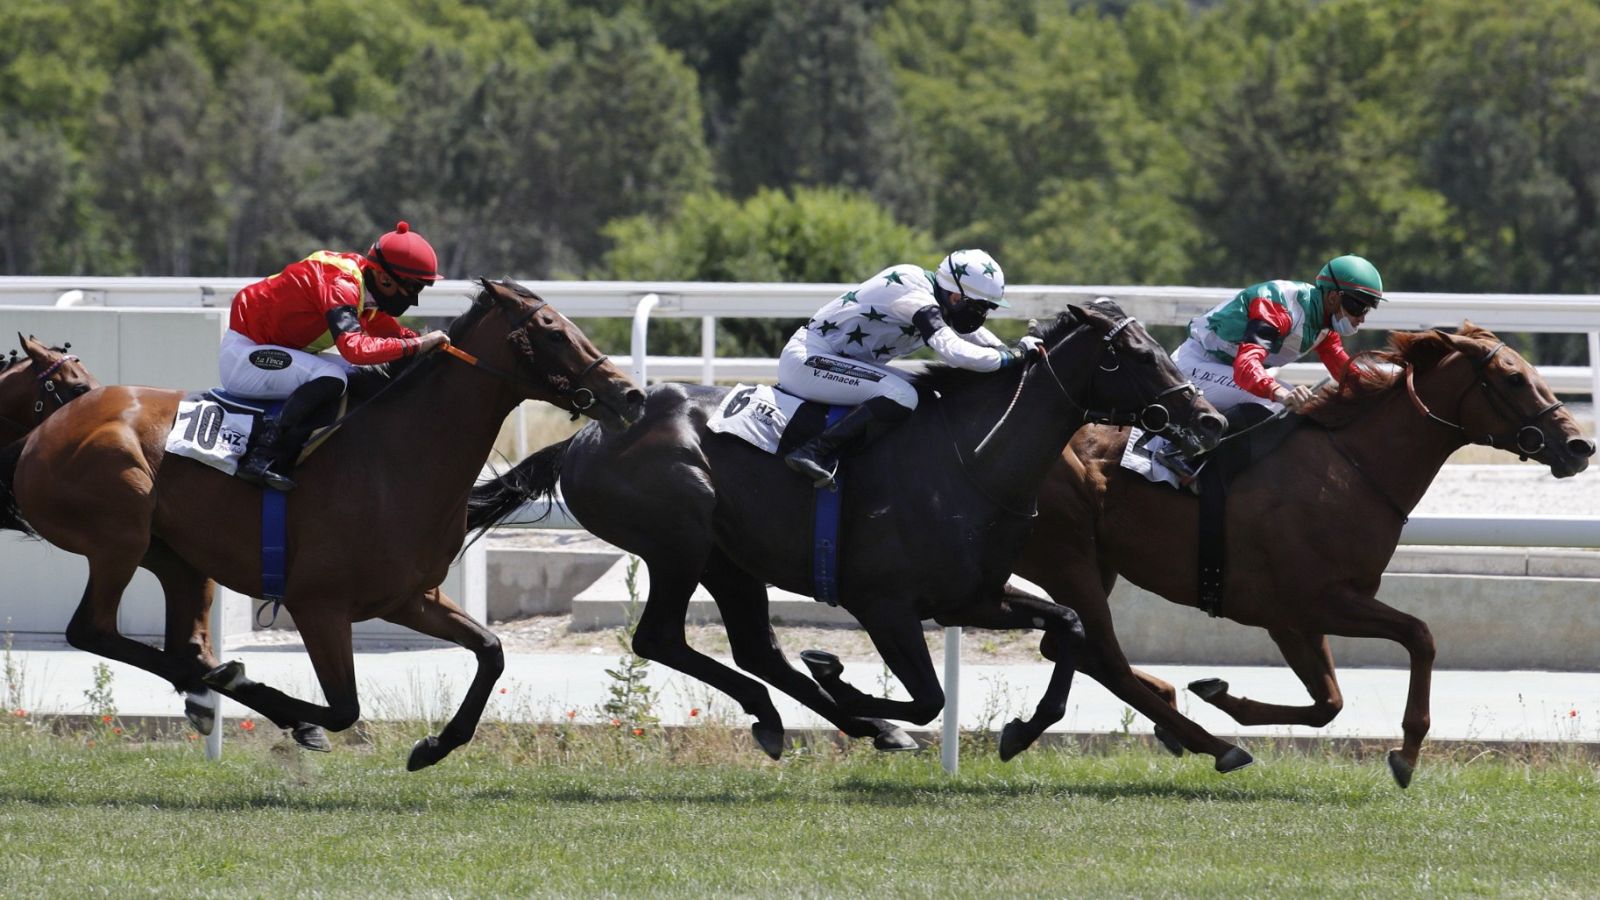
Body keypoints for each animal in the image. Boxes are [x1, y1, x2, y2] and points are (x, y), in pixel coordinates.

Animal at [0, 279, 644, 769]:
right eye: (553, 329)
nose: (632, 394)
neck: (394, 456)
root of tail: (38, 435)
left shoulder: (410, 597)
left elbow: (491, 651)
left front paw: (434, 746)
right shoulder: (318, 605)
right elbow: (343, 709)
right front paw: (285, 713)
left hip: (176, 556)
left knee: (181, 642)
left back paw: (206, 687)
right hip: (120, 536)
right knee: (93, 630)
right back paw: (222, 685)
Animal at [468, 300, 1227, 756]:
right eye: (1133, 354)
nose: (1209, 417)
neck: (972, 456)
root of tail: (583, 438)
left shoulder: (974, 596)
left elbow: (1066, 626)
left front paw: (1019, 731)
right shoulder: (883, 603)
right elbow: (930, 696)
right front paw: (845, 677)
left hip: (727, 559)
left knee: (756, 648)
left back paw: (825, 721)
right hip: (678, 542)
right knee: (661, 638)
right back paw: (826, 715)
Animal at [1008, 323, 1594, 787]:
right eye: (1514, 377)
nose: (1578, 446)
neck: (1353, 467)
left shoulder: (1296, 618)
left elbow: (1327, 703)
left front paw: (1220, 692)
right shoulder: (1313, 602)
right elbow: (1419, 637)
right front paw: (1406, 755)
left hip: (1095, 564)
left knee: (1069, 644)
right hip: (1069, 558)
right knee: (1101, 653)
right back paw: (1212, 743)